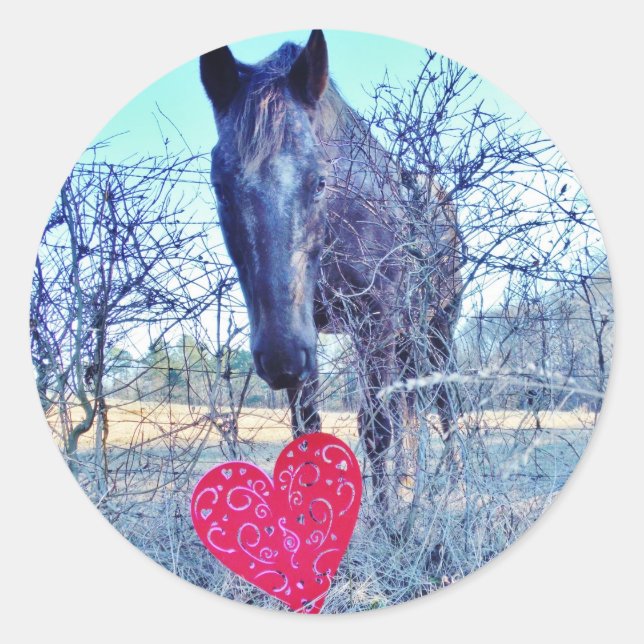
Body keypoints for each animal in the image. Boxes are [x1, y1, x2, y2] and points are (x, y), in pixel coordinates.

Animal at [200, 30, 463, 506]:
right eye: (220, 187)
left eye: (320, 180)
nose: (280, 355)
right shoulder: (308, 340)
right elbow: (307, 433)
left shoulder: (374, 322)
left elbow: (377, 430)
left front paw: (385, 522)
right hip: (407, 338)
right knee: (412, 413)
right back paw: (411, 487)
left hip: (438, 331)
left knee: (445, 405)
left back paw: (461, 495)